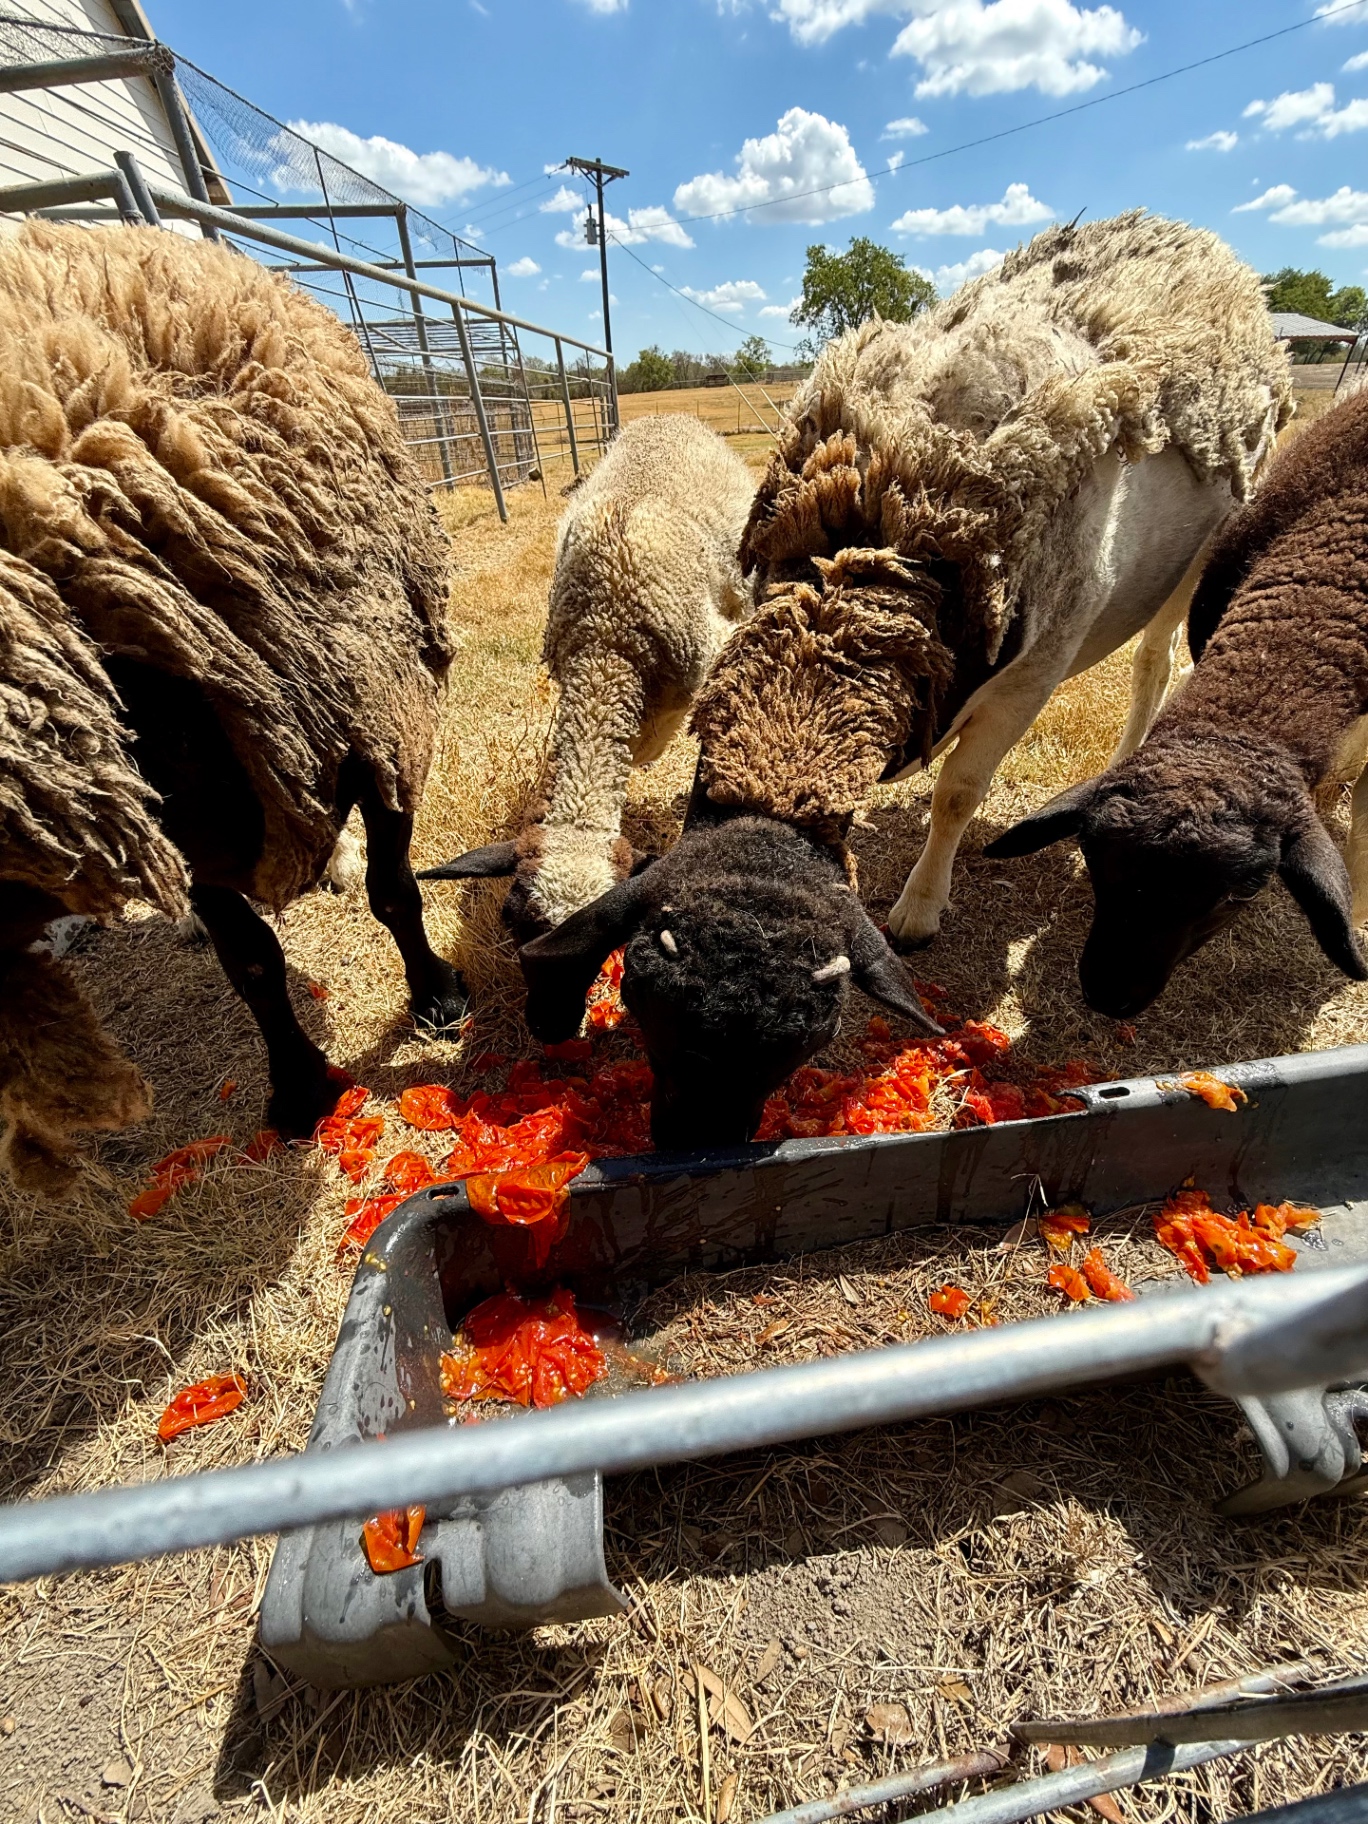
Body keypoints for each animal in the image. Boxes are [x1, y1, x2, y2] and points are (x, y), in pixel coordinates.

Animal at [0, 221, 464, 1193]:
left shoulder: (375, 727)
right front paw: (297, 1090)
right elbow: (250, 960)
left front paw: (438, 996)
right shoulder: (183, 825)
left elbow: (396, 890)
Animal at [519, 212, 1291, 1149]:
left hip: (1201, 546)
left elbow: (957, 793)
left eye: (804, 1041)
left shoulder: (1032, 674)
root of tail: (1199, 246)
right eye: (641, 1000)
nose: (693, 1154)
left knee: (1155, 662)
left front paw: (920, 909)